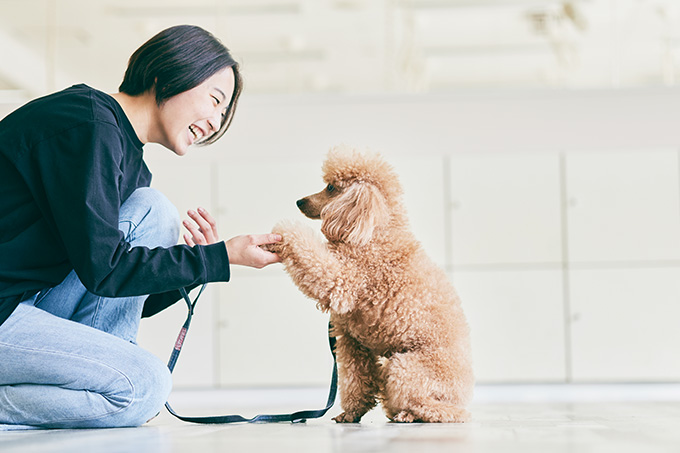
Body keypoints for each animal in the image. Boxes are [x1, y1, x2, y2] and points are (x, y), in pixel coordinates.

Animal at [266, 147, 472, 422]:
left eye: (331, 188)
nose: (300, 201)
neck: (376, 231)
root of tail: (461, 396)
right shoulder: (353, 343)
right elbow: (356, 379)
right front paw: (352, 413)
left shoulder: (342, 279)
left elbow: (313, 256)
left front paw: (282, 232)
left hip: (404, 367)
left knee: (434, 408)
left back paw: (408, 415)